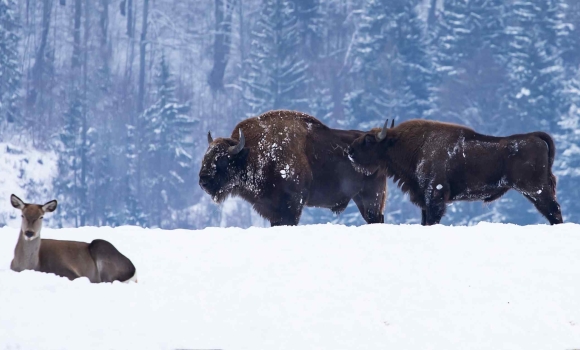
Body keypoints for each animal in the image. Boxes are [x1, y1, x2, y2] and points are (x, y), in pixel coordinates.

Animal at [9, 194, 137, 284]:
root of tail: (133, 271)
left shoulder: (67, 272)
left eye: (41, 216)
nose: (29, 232)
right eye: (22, 215)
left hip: (102, 249)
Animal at [199, 110, 390, 227]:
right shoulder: (273, 211)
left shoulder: (292, 205)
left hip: (371, 198)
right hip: (360, 199)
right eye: (205, 157)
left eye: (222, 159)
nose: (203, 181)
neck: (252, 152)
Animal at [346, 119, 564, 226]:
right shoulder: (424, 199)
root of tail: (534, 137)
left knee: (553, 210)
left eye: (368, 140)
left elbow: (432, 220)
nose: (350, 151)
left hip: (536, 190)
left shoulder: (435, 196)